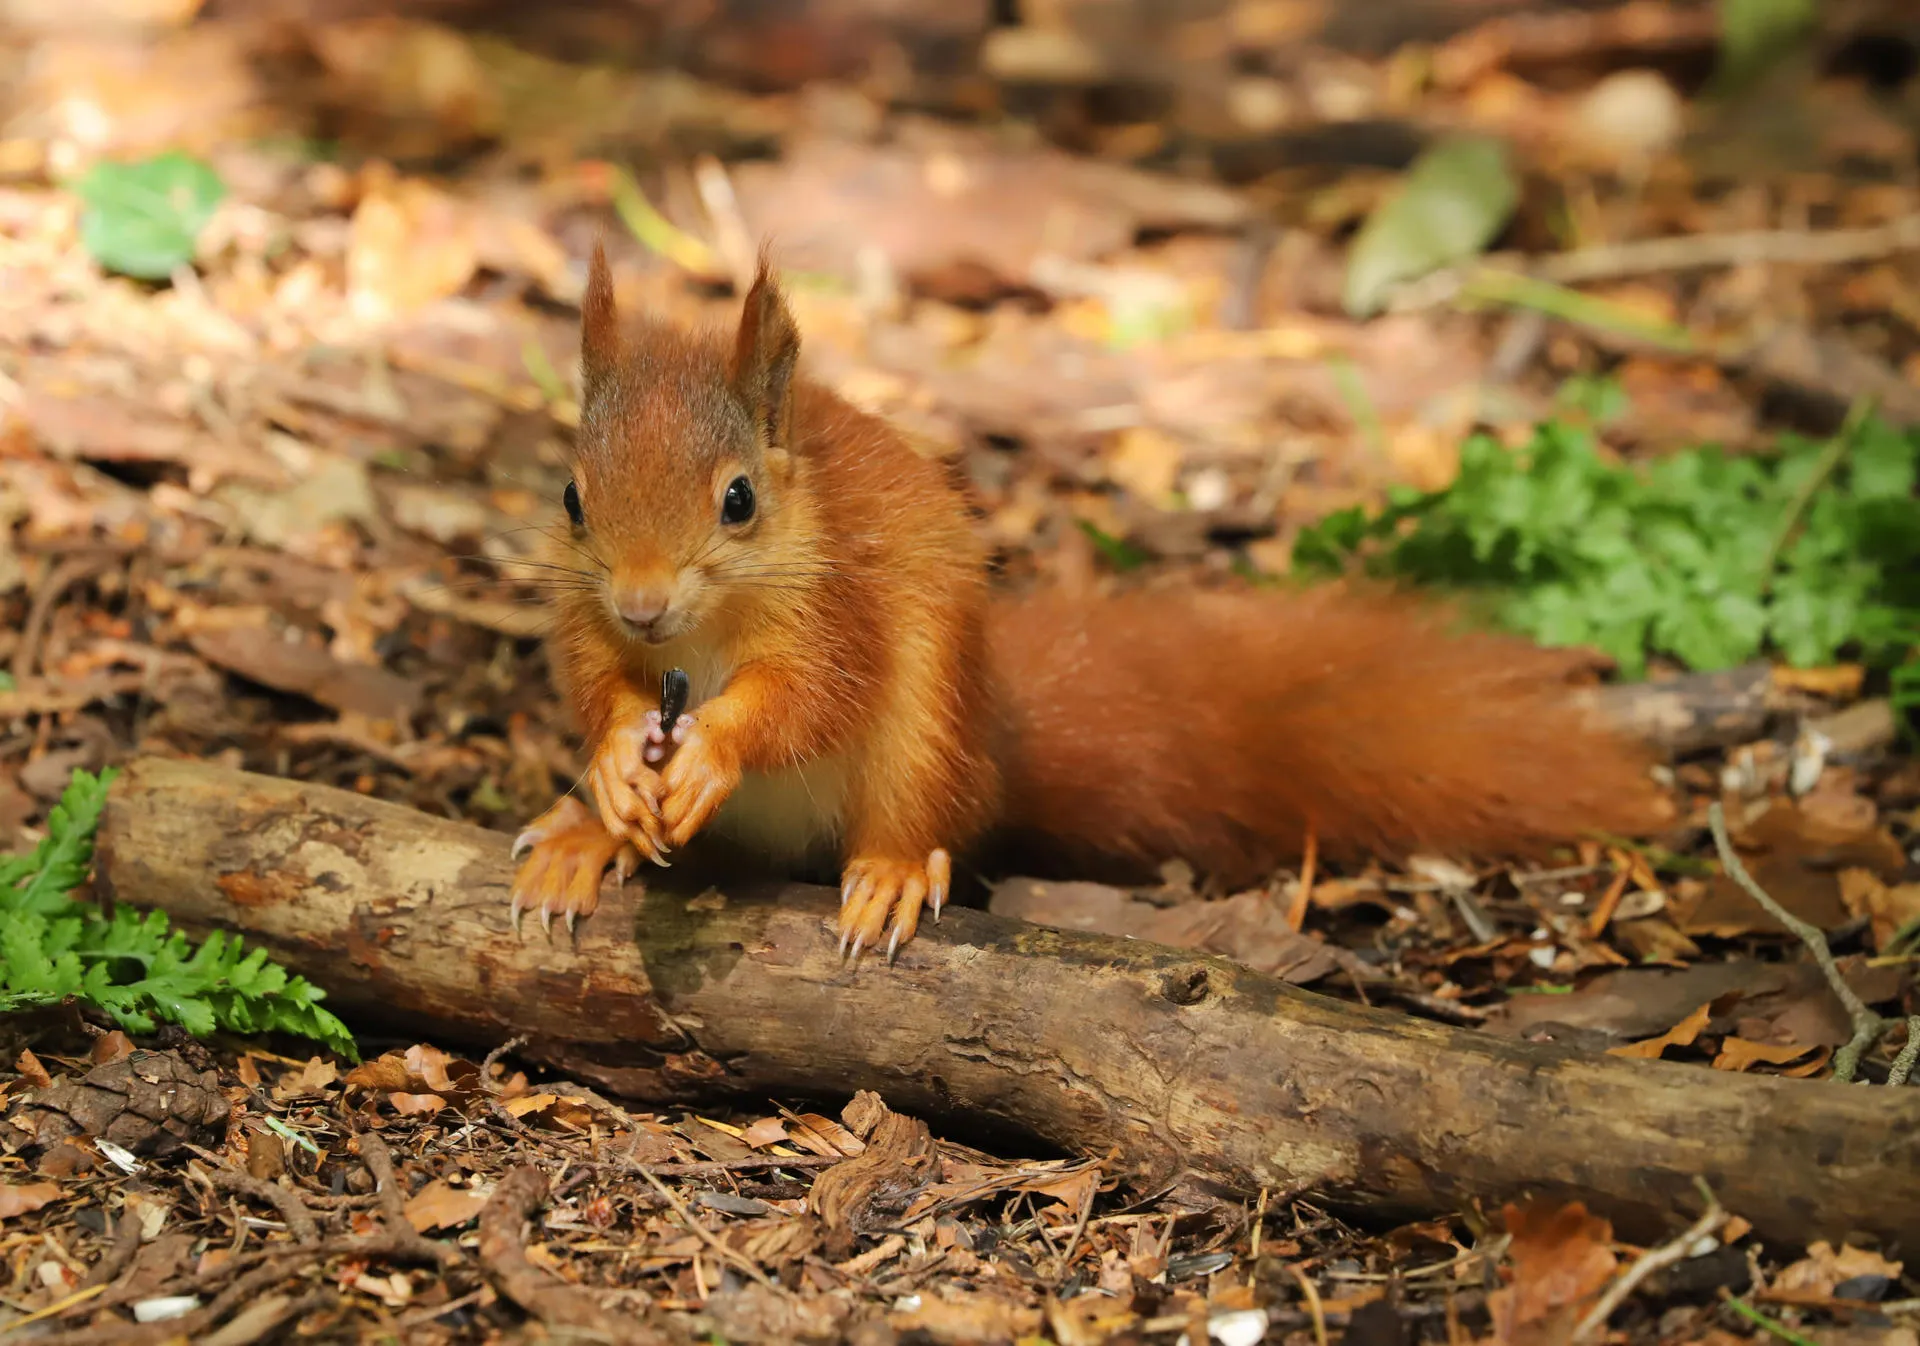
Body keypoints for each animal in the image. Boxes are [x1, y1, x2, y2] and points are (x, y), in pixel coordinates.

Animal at [507, 241, 1672, 960]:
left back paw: (890, 871)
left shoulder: (844, 612)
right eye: (570, 496)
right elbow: (598, 685)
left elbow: (810, 696)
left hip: (930, 735)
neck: (699, 635)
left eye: (739, 500)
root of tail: (999, 754)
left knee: (915, 812)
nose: (643, 600)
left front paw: (709, 746)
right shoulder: (591, 624)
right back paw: (586, 838)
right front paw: (615, 765)